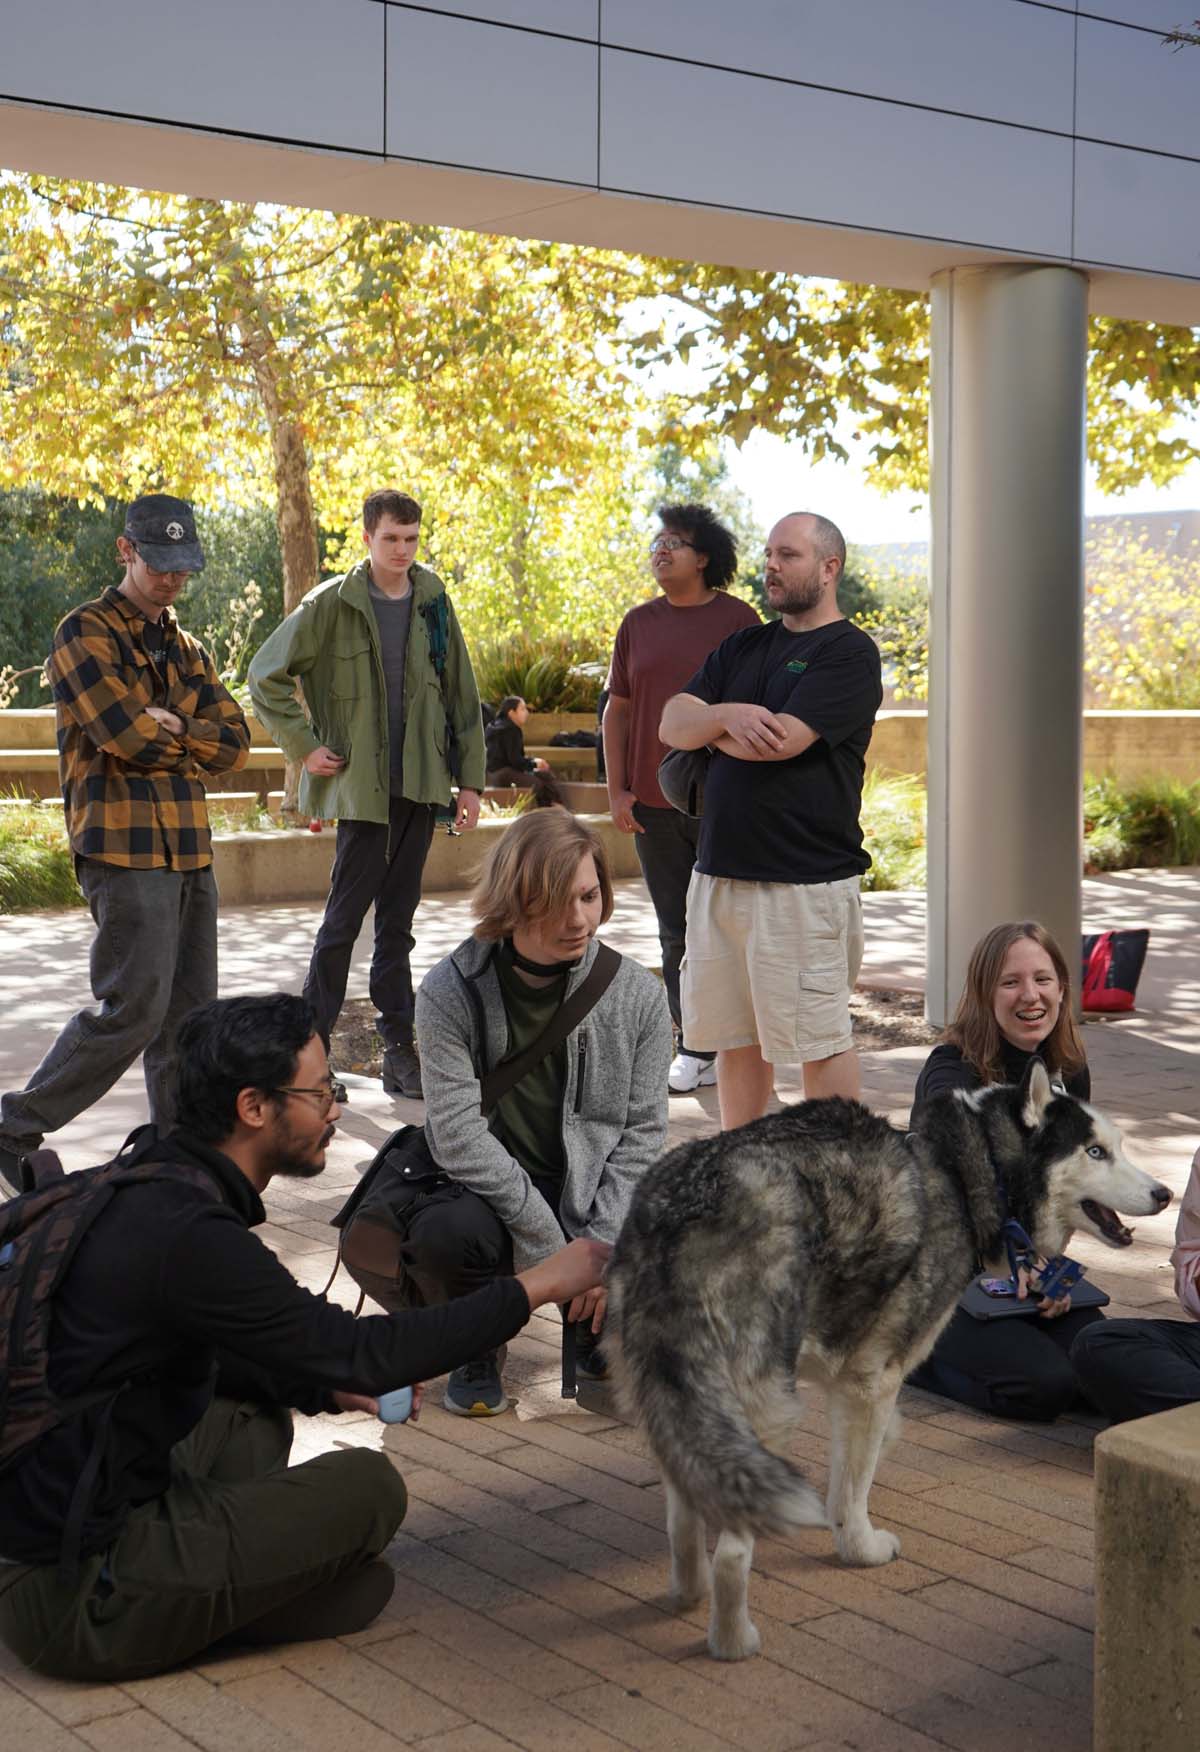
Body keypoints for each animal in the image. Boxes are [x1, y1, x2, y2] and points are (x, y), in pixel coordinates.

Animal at [602, 1058, 1163, 1660]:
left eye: (1119, 1145)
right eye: (1094, 1151)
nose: (1165, 1194)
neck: (967, 1174)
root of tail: (688, 1205)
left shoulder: (848, 1379)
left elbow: (864, 1458)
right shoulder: (874, 1379)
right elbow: (853, 1491)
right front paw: (861, 1548)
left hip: (683, 1402)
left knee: (685, 1513)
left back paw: (689, 1592)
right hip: (767, 1410)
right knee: (732, 1552)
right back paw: (733, 1641)